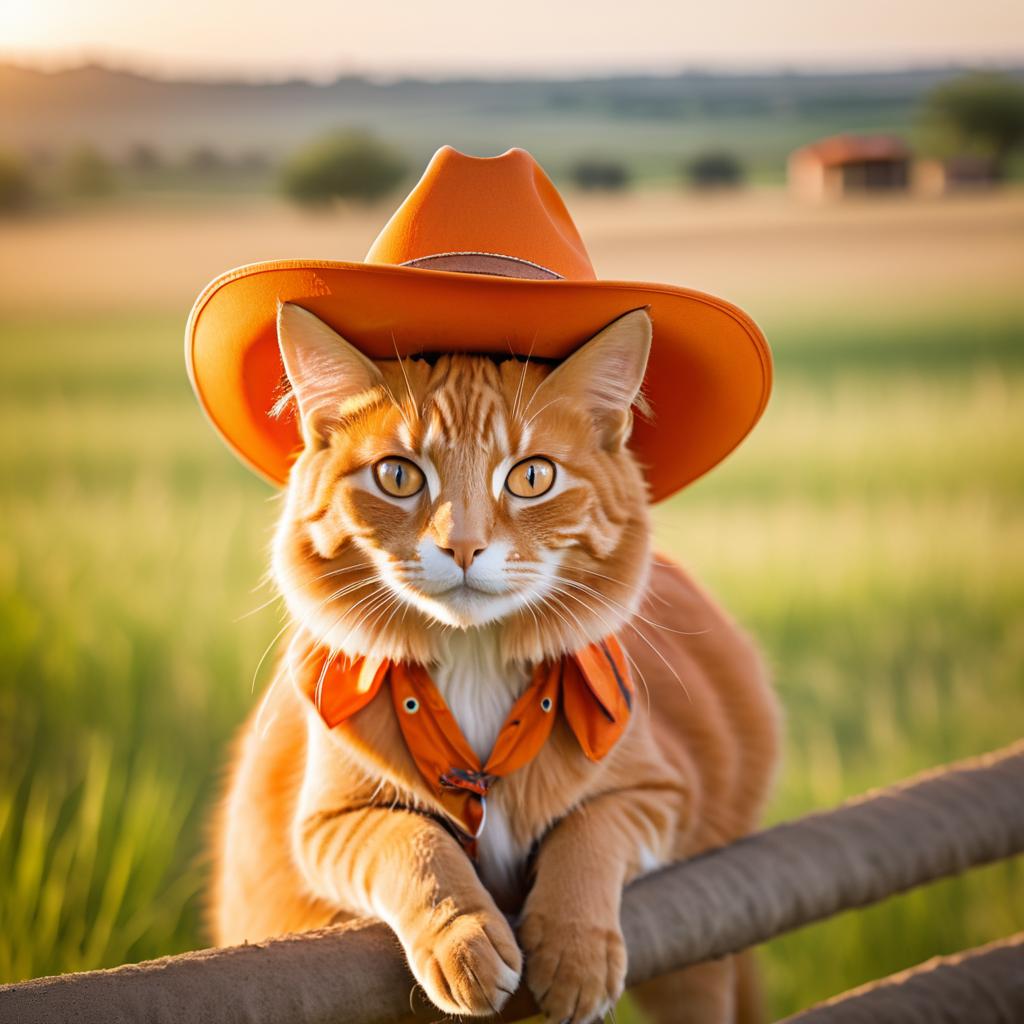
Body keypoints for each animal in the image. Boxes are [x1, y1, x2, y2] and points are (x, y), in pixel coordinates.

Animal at [211, 301, 778, 1024]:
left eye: (532, 476)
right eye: (399, 476)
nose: (463, 546)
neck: (474, 661)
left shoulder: (661, 793)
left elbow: (589, 832)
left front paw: (575, 952)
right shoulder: (324, 824)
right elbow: (411, 843)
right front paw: (465, 939)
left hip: (695, 976)